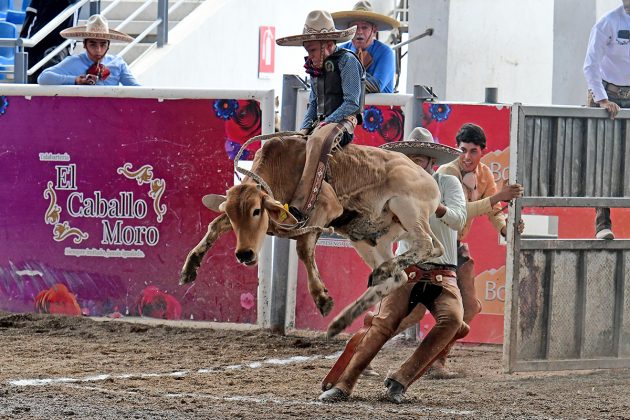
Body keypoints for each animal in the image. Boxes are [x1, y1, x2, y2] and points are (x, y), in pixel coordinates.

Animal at [180, 128, 442, 338]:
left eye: (256, 211)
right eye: (233, 216)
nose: (244, 254)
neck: (284, 168)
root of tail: (430, 178)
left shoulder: (326, 208)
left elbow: (304, 249)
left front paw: (322, 298)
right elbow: (215, 225)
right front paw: (189, 268)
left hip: (406, 206)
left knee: (429, 245)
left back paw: (381, 273)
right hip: (367, 238)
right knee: (398, 277)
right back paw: (342, 320)